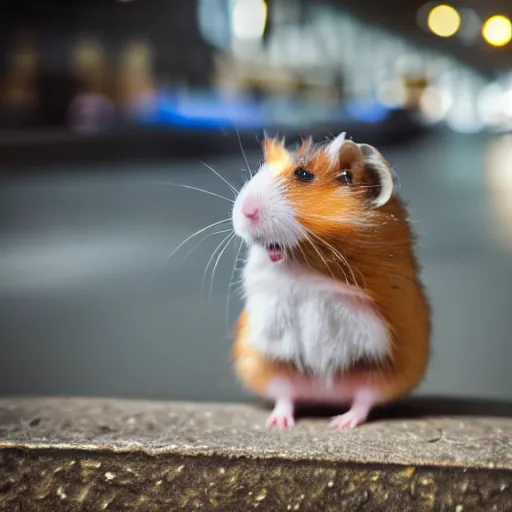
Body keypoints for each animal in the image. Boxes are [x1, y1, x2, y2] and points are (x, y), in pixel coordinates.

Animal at [230, 132, 430, 428]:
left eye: (304, 174)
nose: (245, 211)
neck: (302, 261)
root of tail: (326, 396)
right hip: (268, 367)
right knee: (285, 396)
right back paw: (280, 423)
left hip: (384, 374)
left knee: (363, 400)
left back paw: (341, 423)